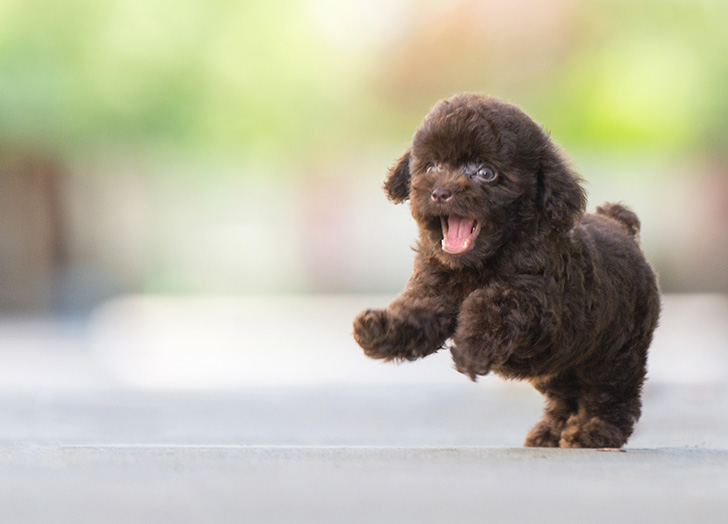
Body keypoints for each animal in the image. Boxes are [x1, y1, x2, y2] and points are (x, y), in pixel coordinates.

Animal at [352, 92, 660, 448]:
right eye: (432, 167)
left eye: (486, 173)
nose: (440, 192)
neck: (477, 263)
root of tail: (620, 225)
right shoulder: (434, 288)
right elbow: (416, 310)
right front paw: (379, 329)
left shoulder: (536, 302)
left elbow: (489, 303)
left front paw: (471, 347)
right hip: (562, 362)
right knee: (565, 393)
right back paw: (550, 432)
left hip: (616, 348)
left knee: (610, 392)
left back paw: (594, 431)